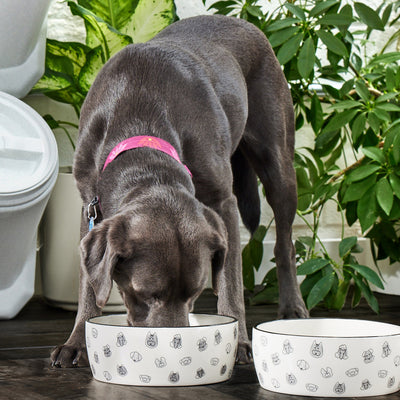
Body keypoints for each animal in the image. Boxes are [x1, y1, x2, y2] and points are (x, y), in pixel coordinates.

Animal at [50, 14, 308, 368]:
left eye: (194, 293)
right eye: (145, 294)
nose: (171, 354)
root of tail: (244, 21)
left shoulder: (222, 202)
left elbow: (230, 281)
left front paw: (238, 342)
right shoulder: (89, 204)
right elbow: (88, 286)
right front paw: (77, 342)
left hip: (278, 162)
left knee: (285, 242)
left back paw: (292, 306)